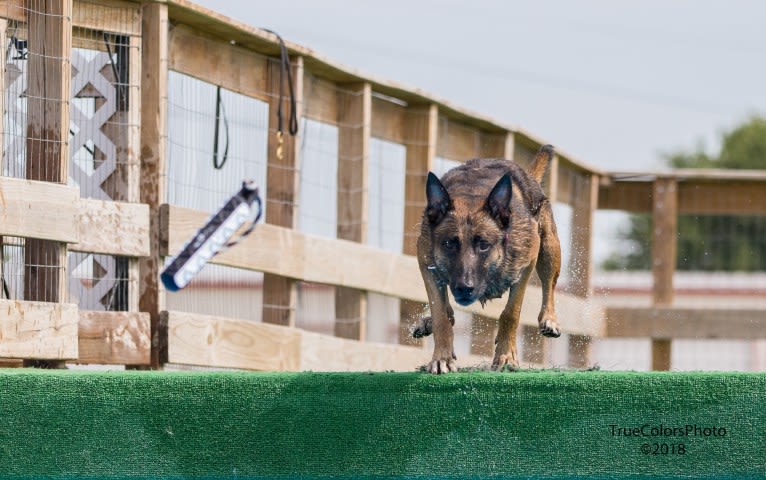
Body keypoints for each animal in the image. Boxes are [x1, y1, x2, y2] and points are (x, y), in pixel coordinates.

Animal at [416, 144, 560, 374]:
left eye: (483, 244)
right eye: (449, 244)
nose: (464, 288)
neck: (472, 196)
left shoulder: (527, 261)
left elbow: (511, 313)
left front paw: (506, 356)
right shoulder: (425, 261)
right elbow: (440, 315)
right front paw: (442, 357)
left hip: (549, 249)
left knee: (549, 286)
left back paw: (549, 319)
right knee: (445, 308)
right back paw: (429, 320)